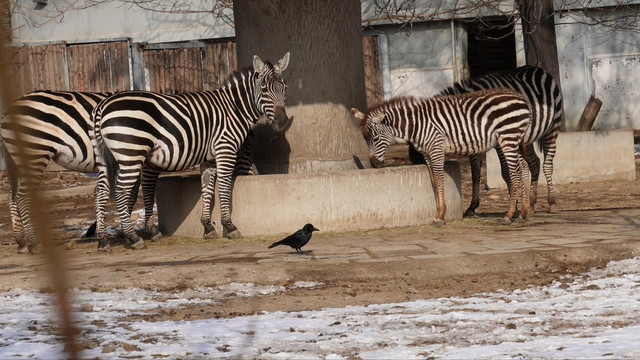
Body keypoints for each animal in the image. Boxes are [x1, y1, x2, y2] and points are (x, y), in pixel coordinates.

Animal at [93, 52, 292, 250]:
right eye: (264, 89)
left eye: (285, 88)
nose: (282, 122)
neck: (234, 108)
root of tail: (103, 104)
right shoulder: (225, 149)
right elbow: (224, 186)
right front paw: (229, 226)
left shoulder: (209, 158)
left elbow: (207, 188)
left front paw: (208, 227)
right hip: (131, 154)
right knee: (120, 191)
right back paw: (133, 237)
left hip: (106, 158)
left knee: (101, 191)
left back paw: (103, 240)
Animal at [352, 87, 532, 224]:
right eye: (364, 139)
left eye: (375, 138)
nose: (374, 163)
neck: (416, 125)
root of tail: (521, 98)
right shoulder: (426, 152)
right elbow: (433, 180)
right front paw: (439, 212)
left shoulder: (436, 148)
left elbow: (439, 178)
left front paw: (441, 215)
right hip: (513, 140)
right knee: (524, 168)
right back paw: (523, 213)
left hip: (508, 138)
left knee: (515, 172)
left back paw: (509, 215)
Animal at [408, 65, 564, 215]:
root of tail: (538, 69)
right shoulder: (472, 140)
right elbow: (475, 174)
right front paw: (472, 206)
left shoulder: (500, 140)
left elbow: (506, 172)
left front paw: (514, 207)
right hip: (526, 138)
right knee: (535, 163)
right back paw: (531, 204)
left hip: (552, 127)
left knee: (547, 165)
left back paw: (552, 203)